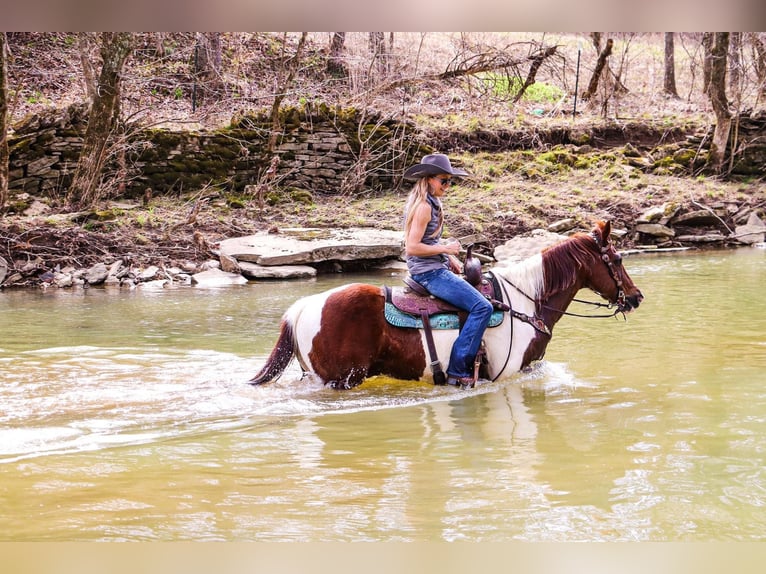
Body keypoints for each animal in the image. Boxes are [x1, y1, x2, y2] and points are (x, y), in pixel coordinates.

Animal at [250, 223, 640, 390]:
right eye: (618, 259)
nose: (636, 297)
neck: (524, 300)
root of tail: (302, 307)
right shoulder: (507, 375)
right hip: (340, 379)